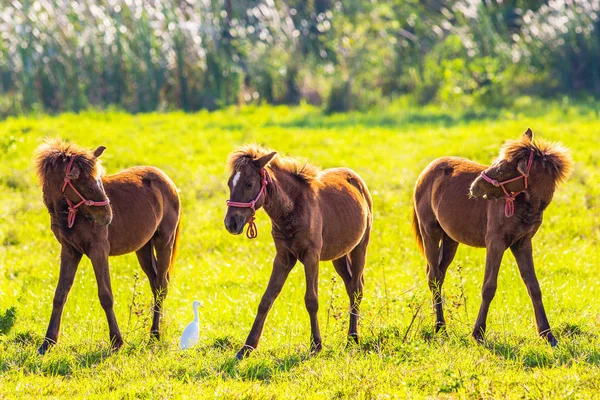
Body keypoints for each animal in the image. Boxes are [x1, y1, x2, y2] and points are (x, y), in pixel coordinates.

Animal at [34, 139, 180, 354]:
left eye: (99, 181)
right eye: (85, 185)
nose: (107, 215)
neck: (73, 215)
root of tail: (167, 180)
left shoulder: (98, 250)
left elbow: (105, 295)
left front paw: (117, 341)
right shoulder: (70, 251)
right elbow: (60, 294)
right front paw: (48, 342)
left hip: (164, 242)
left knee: (162, 285)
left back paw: (154, 334)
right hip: (143, 248)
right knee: (155, 284)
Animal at [223, 145, 370, 360]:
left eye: (249, 184)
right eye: (229, 184)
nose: (231, 223)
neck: (290, 211)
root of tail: (355, 178)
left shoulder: (311, 257)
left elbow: (311, 300)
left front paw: (316, 345)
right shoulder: (283, 257)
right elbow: (266, 299)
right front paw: (247, 348)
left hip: (360, 247)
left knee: (357, 287)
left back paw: (353, 338)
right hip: (340, 255)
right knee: (351, 286)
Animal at [412, 130, 572, 346]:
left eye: (503, 168)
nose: (474, 187)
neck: (523, 205)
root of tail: (427, 170)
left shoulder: (522, 244)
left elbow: (534, 287)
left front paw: (548, 334)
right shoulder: (495, 243)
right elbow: (489, 287)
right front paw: (478, 333)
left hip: (450, 239)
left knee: (438, 273)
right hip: (430, 232)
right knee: (434, 277)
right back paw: (440, 327)